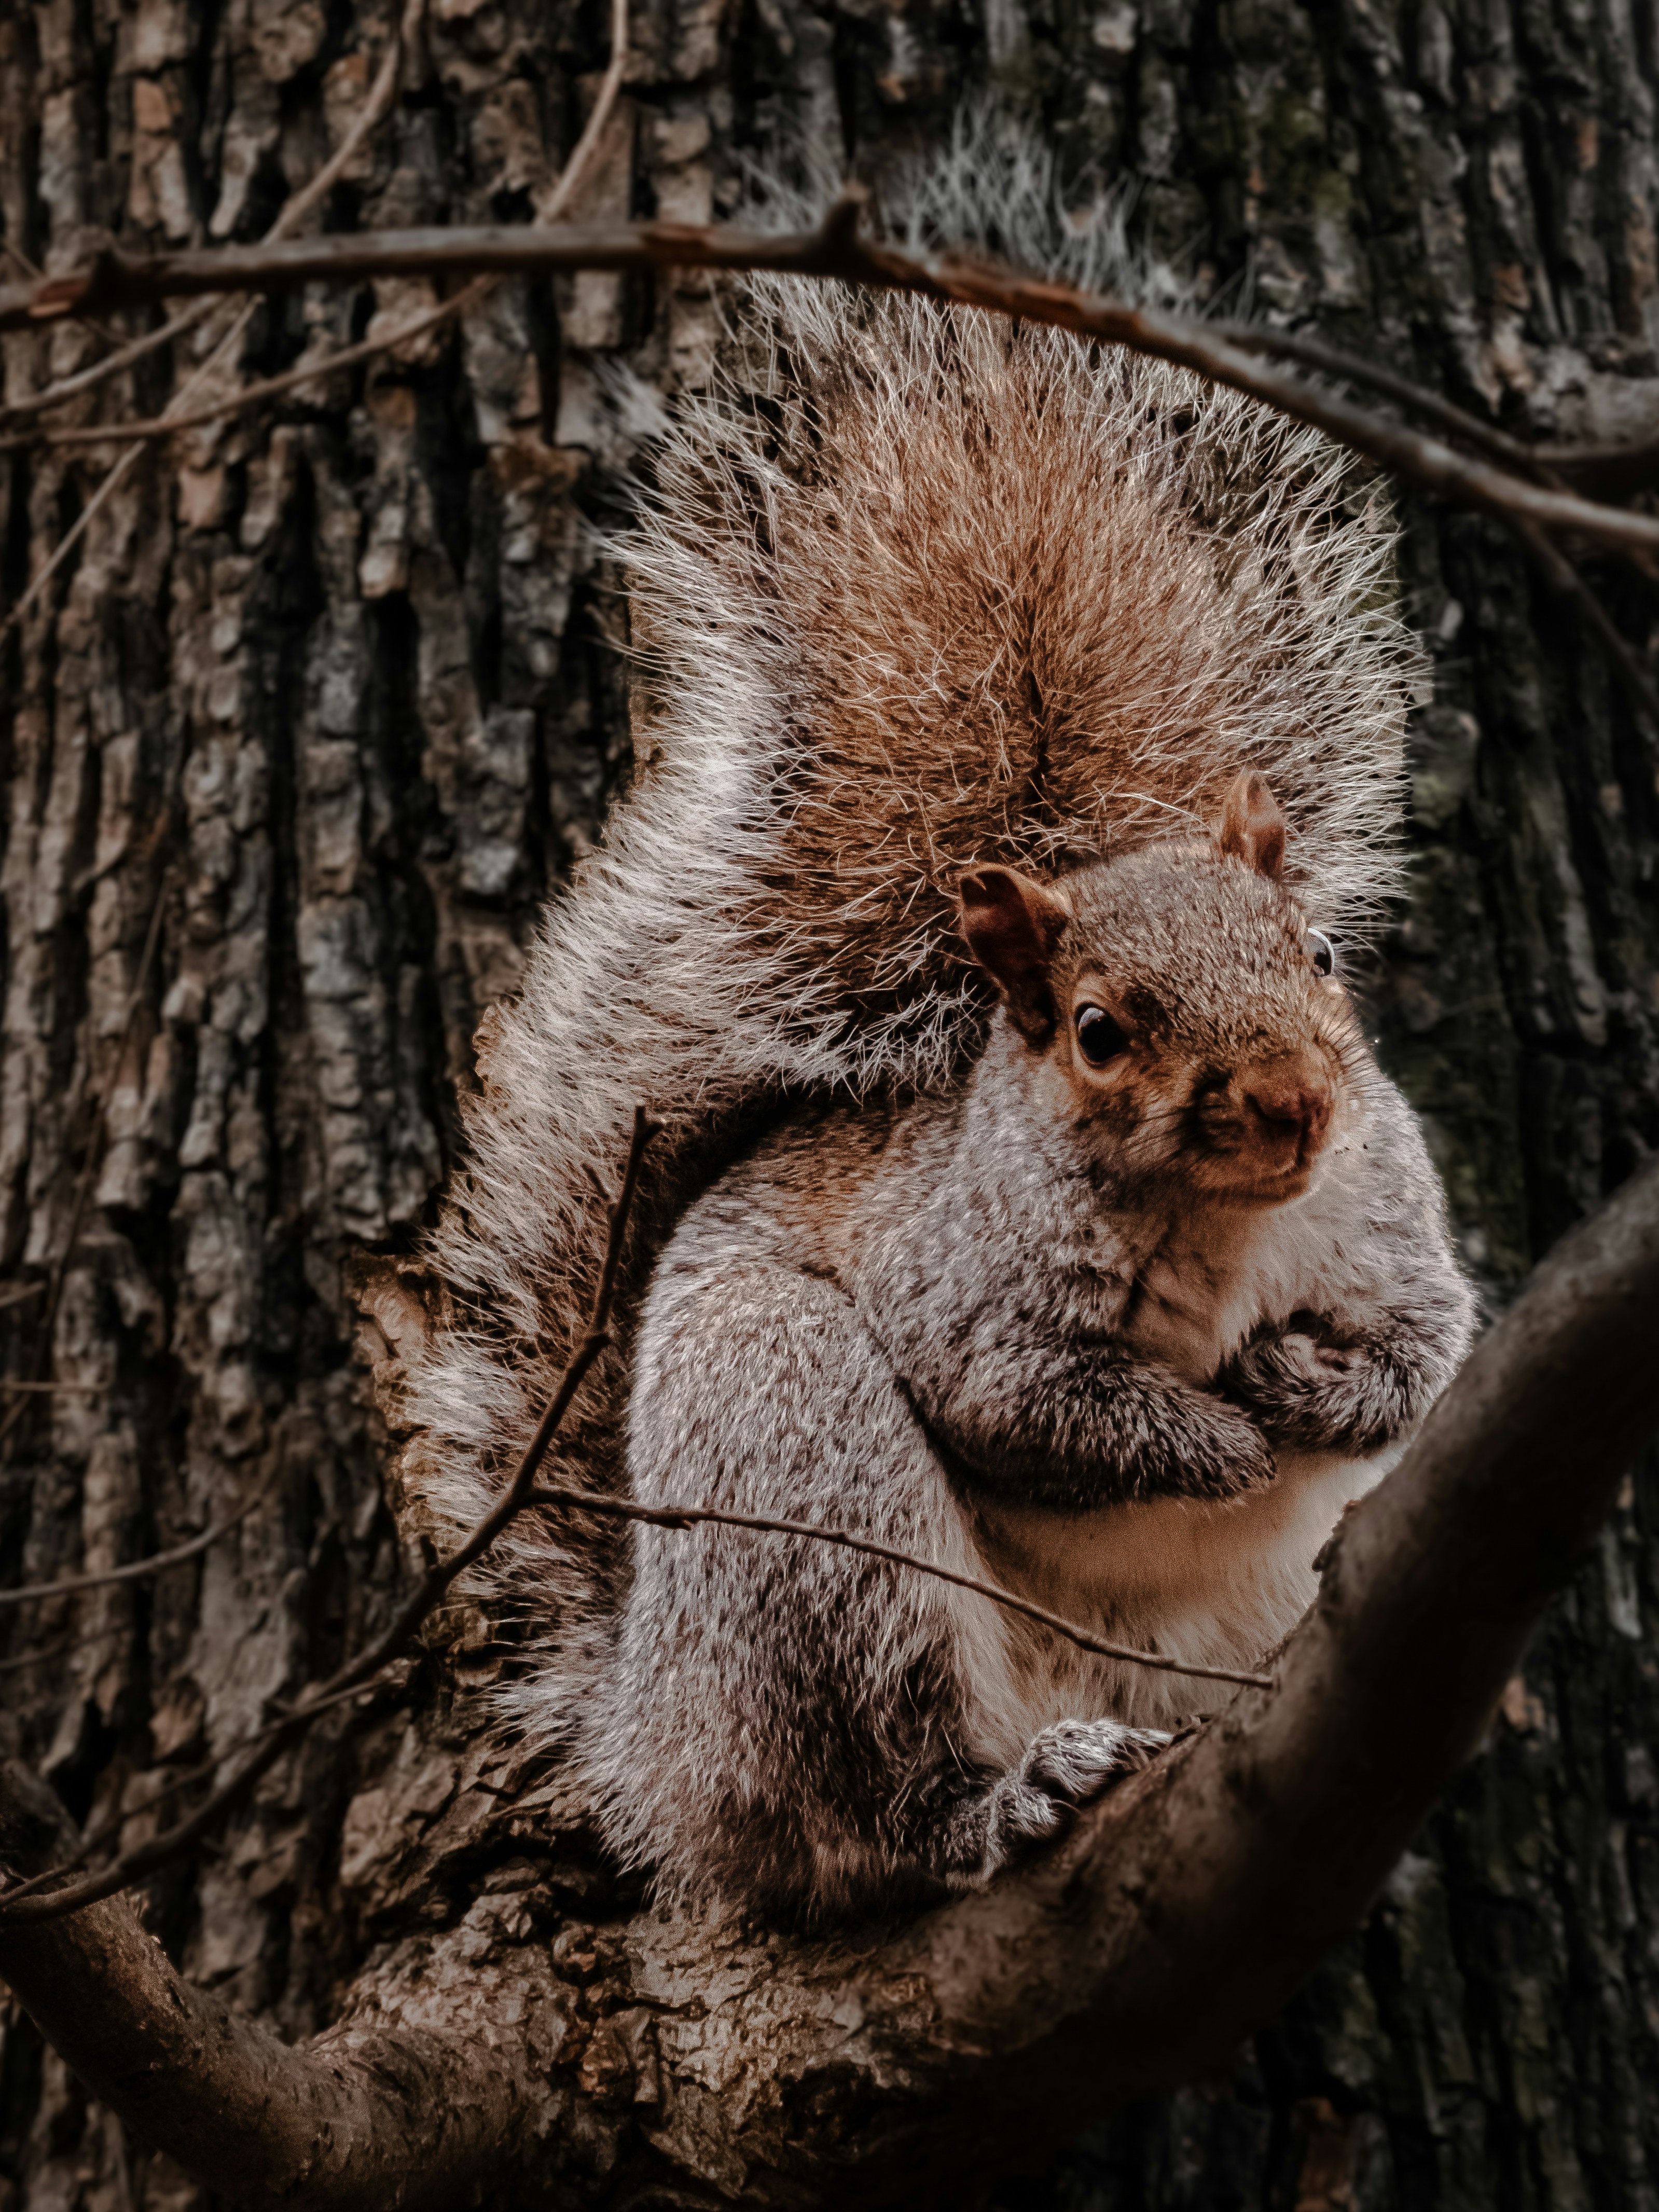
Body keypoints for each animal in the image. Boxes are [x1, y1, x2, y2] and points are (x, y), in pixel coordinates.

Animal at [384, 132, 1476, 1923]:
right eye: (1097, 1030)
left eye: (1316, 951)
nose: (1294, 1106)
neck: (1226, 1228)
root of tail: (660, 1747)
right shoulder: (956, 1286)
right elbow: (1026, 1407)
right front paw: (1213, 1432)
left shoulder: (1386, 1217)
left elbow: (1423, 1348)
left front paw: (1314, 1394)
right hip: (807, 1490)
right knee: (869, 1801)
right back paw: (998, 1794)